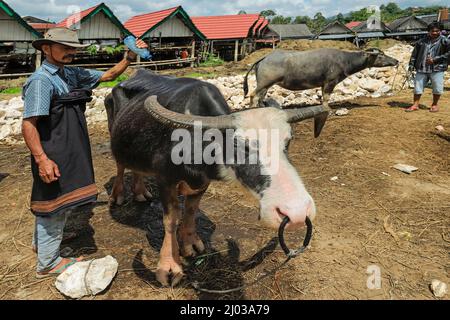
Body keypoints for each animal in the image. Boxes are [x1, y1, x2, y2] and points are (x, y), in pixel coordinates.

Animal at [106, 69, 326, 286]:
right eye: (238, 145)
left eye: (288, 140)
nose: (297, 212)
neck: (194, 143)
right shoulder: (165, 180)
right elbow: (170, 220)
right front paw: (169, 267)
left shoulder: (202, 183)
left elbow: (191, 210)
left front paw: (190, 243)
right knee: (120, 165)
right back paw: (118, 196)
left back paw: (140, 192)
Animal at [244, 48, 400, 109]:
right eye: (380, 56)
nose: (396, 61)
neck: (344, 60)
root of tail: (265, 57)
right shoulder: (330, 82)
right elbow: (326, 97)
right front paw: (327, 109)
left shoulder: (323, 83)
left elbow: (323, 96)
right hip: (264, 83)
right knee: (253, 95)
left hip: (265, 86)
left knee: (260, 97)